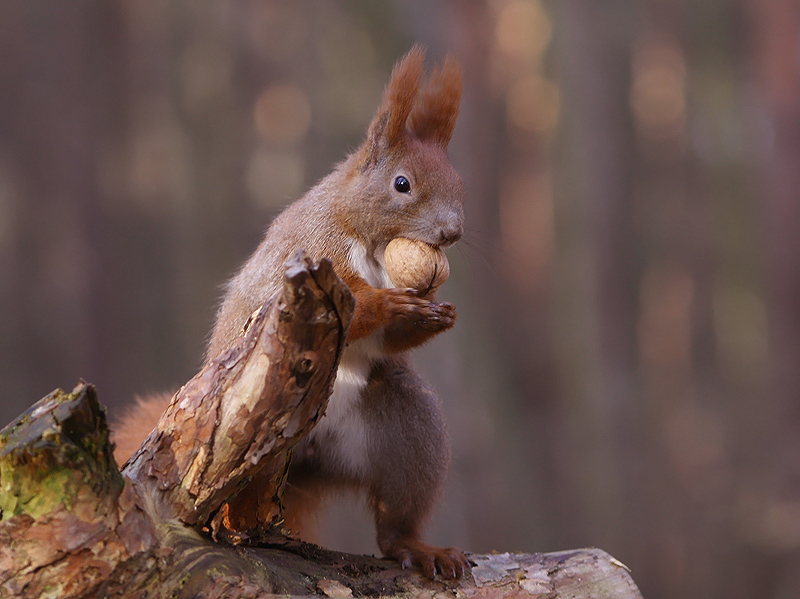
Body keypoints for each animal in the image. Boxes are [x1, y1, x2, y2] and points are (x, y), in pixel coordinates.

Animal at [115, 47, 472, 580]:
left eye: (459, 183)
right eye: (402, 184)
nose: (452, 231)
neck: (368, 238)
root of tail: (313, 456)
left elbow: (389, 341)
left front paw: (433, 315)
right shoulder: (306, 257)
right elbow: (357, 310)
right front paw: (390, 305)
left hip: (410, 428)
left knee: (395, 523)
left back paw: (420, 549)